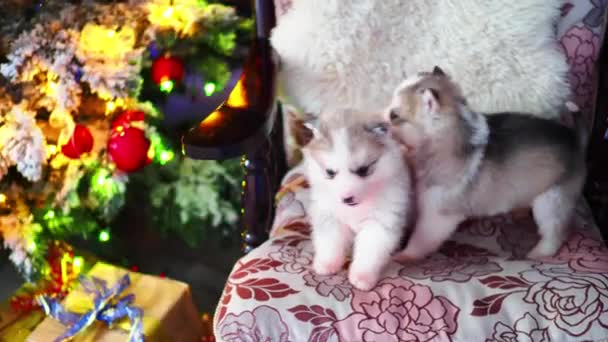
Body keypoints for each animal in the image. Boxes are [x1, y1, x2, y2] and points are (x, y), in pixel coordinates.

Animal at [304, 109, 414, 288]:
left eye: (363, 170)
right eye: (330, 172)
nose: (346, 198)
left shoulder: (380, 224)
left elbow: (369, 252)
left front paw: (362, 277)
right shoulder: (330, 217)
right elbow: (330, 242)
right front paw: (327, 264)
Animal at [388, 66, 588, 260]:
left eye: (393, 115)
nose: (382, 120)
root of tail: (574, 139)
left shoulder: (437, 213)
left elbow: (421, 239)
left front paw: (405, 255)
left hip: (551, 199)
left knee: (554, 231)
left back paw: (540, 252)